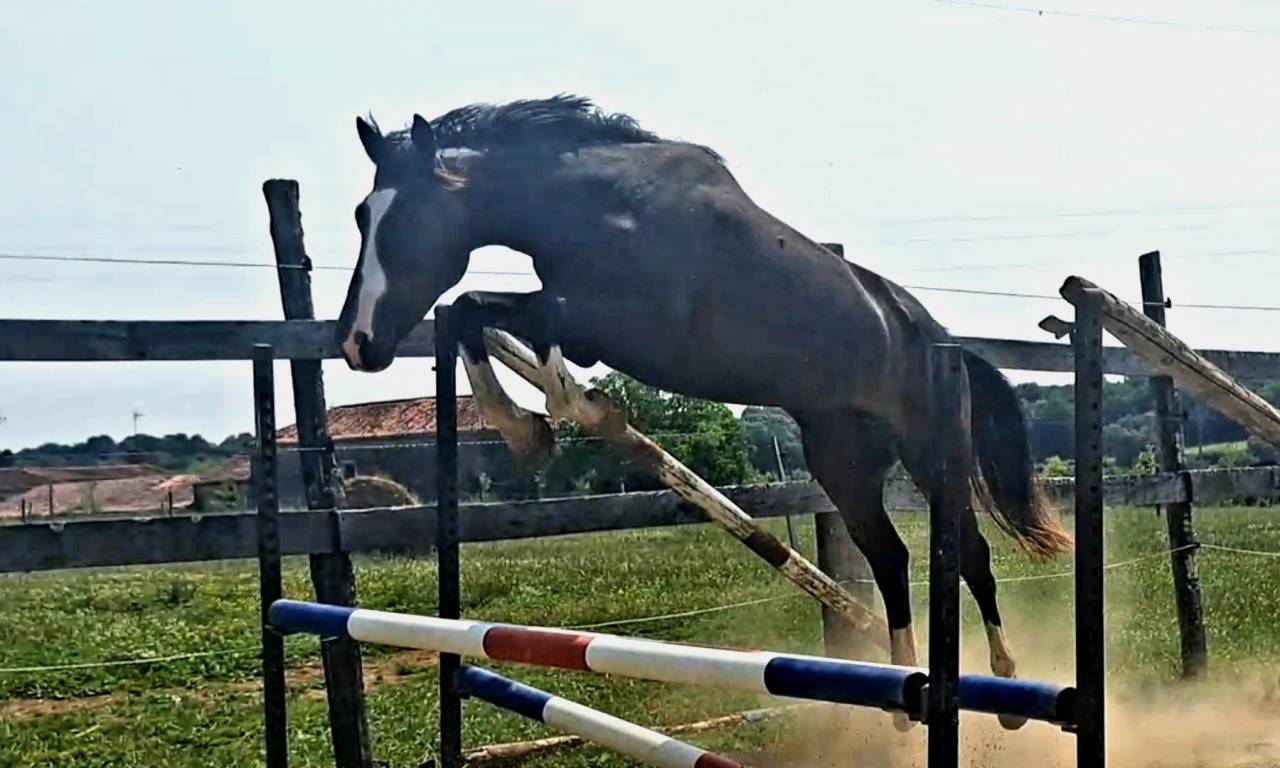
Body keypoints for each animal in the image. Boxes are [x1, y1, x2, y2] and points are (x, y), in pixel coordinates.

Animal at [334, 96, 1072, 729]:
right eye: (362, 215)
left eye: (404, 219)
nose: (358, 343)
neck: (604, 207)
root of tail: (942, 339)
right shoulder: (572, 310)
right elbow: (467, 312)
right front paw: (531, 432)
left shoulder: (619, 322)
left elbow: (516, 331)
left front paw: (571, 412)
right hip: (843, 459)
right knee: (889, 558)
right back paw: (898, 698)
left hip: (930, 451)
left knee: (969, 552)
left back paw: (1005, 687)